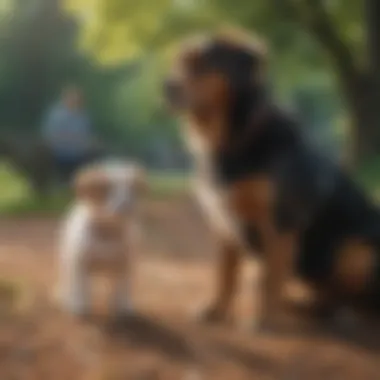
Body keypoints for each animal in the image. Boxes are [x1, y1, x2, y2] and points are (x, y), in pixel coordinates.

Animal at [56, 161, 145, 318]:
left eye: (131, 188)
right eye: (106, 187)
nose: (127, 204)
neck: (108, 230)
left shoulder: (126, 265)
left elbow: (124, 288)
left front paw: (123, 307)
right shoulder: (80, 263)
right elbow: (80, 287)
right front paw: (79, 307)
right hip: (66, 258)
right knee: (68, 280)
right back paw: (67, 298)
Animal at [165, 30, 380, 330]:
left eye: (201, 64)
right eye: (181, 62)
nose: (166, 87)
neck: (234, 139)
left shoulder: (280, 222)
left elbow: (268, 280)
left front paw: (262, 321)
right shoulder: (224, 222)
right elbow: (225, 274)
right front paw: (216, 310)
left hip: (359, 250)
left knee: (358, 302)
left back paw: (342, 314)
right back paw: (309, 307)